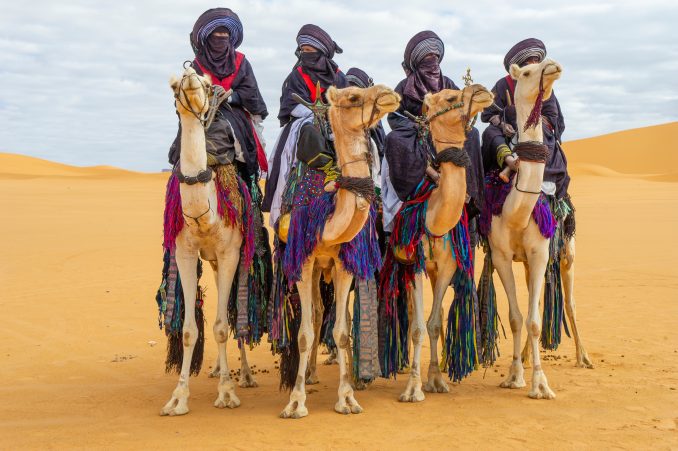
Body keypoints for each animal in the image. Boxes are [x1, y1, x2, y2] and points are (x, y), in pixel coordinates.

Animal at [161, 67, 251, 416]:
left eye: (204, 81)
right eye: (173, 84)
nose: (188, 75)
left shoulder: (230, 253)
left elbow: (223, 326)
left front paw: (227, 393)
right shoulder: (185, 253)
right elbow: (189, 330)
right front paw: (178, 398)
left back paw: (246, 375)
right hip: (210, 261)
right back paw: (215, 369)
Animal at [278, 83, 402, 418]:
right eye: (353, 97)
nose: (389, 94)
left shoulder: (345, 263)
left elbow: (342, 332)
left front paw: (347, 398)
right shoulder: (303, 260)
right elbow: (304, 333)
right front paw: (295, 402)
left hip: (329, 268)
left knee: (328, 313)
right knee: (315, 315)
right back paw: (308, 375)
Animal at [396, 85, 496, 402]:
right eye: (451, 97)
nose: (482, 91)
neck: (433, 214)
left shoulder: (448, 264)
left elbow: (434, 322)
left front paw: (436, 380)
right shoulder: (413, 262)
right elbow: (417, 326)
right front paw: (413, 389)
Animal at [488, 58, 588, 400]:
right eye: (528, 72)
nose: (554, 65)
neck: (515, 211)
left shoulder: (541, 253)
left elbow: (533, 321)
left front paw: (540, 384)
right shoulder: (502, 256)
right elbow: (517, 318)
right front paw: (515, 375)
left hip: (567, 254)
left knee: (570, 303)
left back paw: (583, 357)